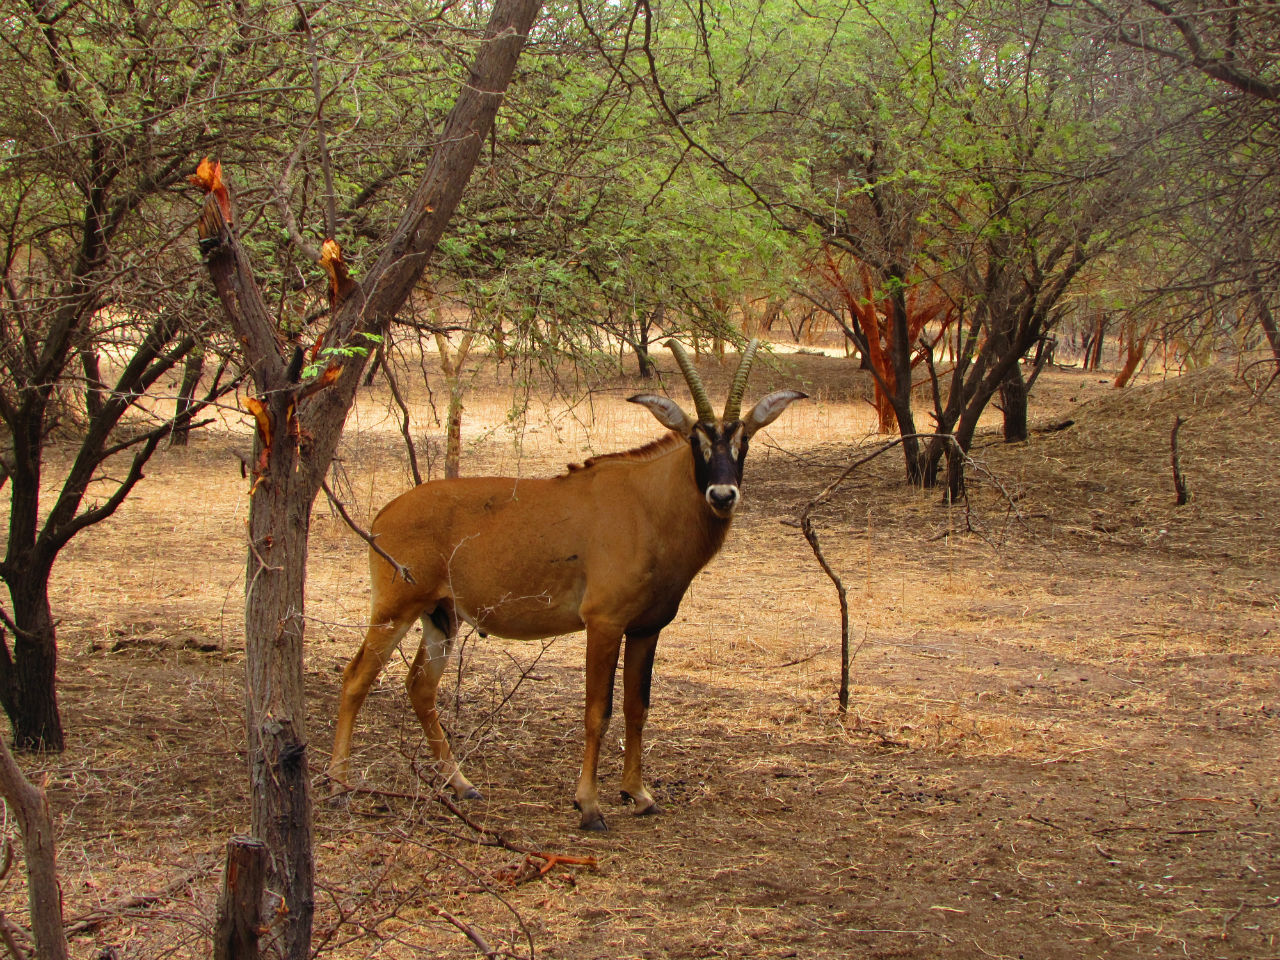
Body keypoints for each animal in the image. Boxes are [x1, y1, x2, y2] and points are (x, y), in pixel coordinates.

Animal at [332, 340, 808, 834]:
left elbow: (637, 708)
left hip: (441, 616)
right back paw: (340, 786)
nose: (722, 495)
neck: (650, 505)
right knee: (356, 678)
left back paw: (462, 785)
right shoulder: (604, 624)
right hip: (395, 609)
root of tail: (384, 515)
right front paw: (589, 806)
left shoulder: (646, 629)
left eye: (743, 440)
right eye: (696, 441)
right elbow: (598, 711)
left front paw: (638, 794)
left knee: (420, 687)